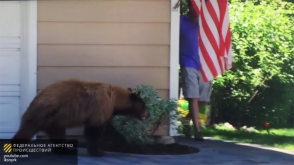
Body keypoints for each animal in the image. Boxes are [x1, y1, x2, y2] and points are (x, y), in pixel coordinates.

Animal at [10, 78, 149, 157]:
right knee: (29, 128)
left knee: (57, 133)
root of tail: (38, 96)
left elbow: (105, 129)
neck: (115, 100)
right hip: (45, 113)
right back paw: (18, 149)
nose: (148, 114)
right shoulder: (101, 107)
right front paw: (97, 152)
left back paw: (65, 150)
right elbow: (94, 130)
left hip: (55, 120)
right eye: (144, 105)